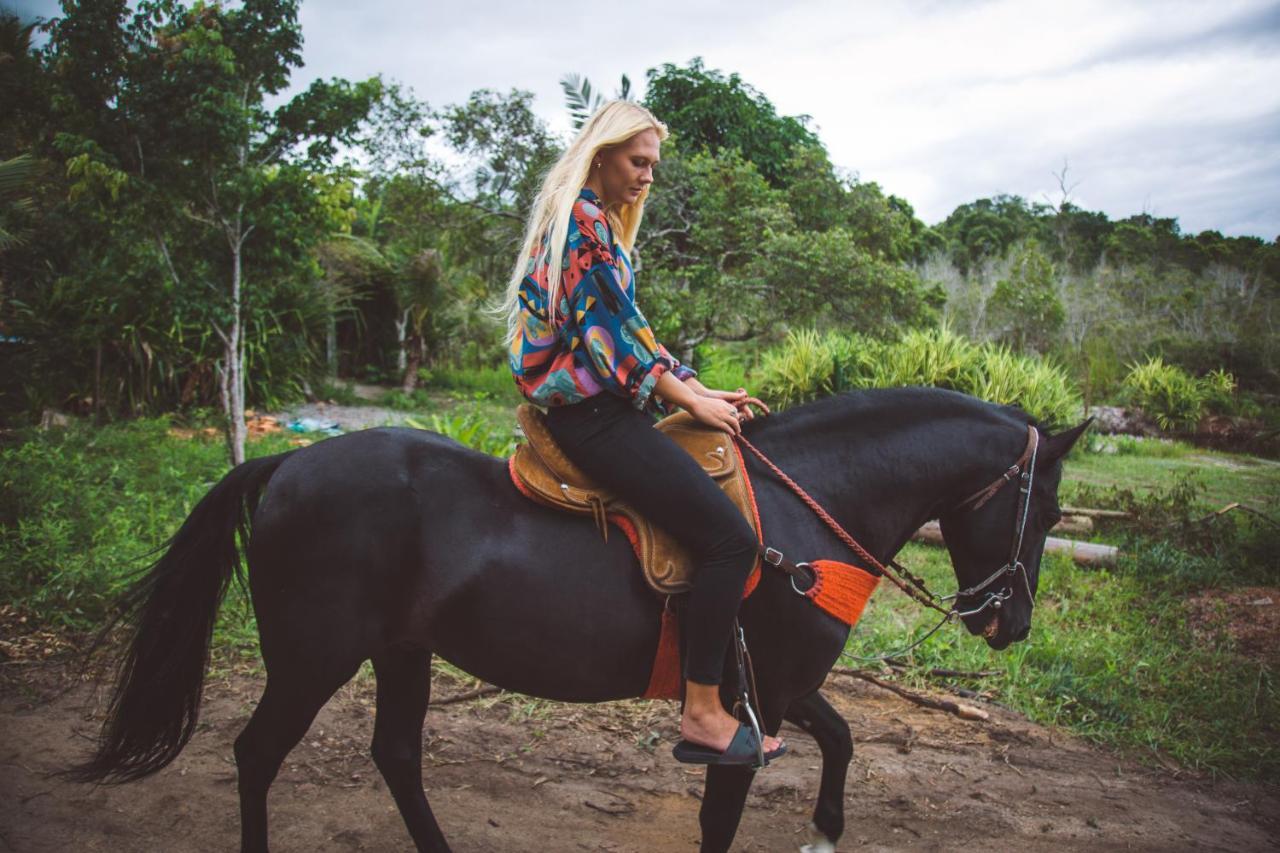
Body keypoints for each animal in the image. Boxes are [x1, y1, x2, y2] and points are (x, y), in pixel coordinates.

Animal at [74, 386, 1085, 850]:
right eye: (1045, 509)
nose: (1011, 624)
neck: (805, 518)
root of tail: (284, 464)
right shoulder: (745, 706)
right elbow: (723, 817)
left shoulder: (781, 689)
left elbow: (841, 737)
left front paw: (826, 829)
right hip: (312, 655)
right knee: (256, 753)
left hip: (401, 650)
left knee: (395, 755)